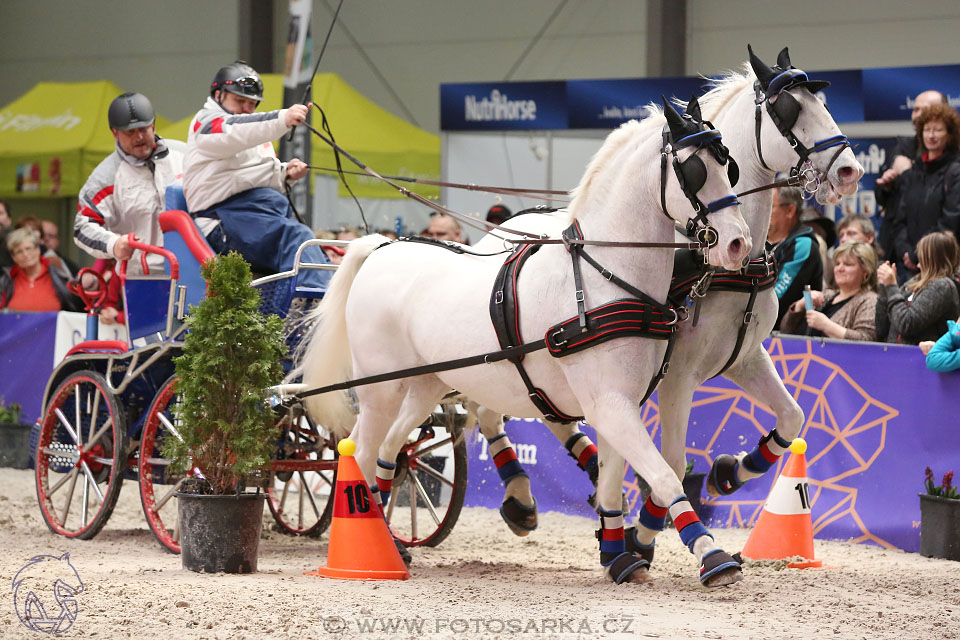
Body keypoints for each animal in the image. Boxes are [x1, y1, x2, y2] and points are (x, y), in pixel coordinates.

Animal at [462, 43, 868, 556]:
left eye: (822, 104)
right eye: (789, 110)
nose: (851, 170)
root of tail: (505, 226)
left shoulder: (745, 357)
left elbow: (792, 418)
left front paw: (728, 474)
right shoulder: (679, 376)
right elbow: (671, 463)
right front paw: (644, 535)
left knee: (544, 412)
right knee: (489, 409)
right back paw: (521, 495)